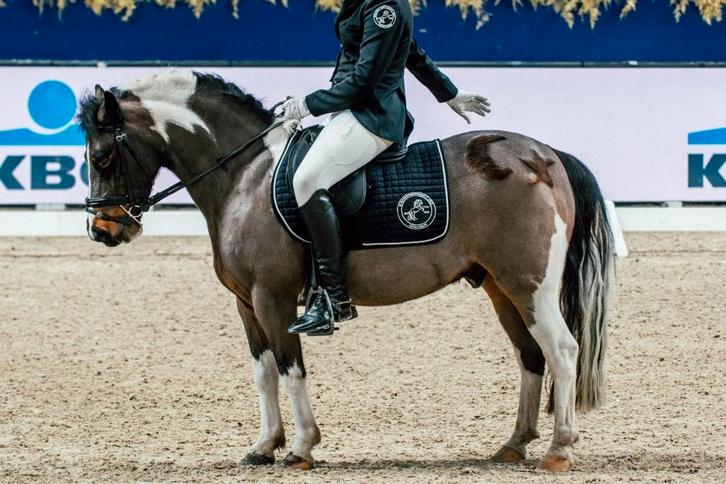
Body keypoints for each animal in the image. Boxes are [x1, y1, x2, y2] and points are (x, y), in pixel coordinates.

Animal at [80, 70, 614, 472]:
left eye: (101, 156)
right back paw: (513, 444)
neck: (246, 176)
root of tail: (544, 155)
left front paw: (300, 448)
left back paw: (559, 449)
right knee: (531, 355)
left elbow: (291, 367)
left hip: (530, 285)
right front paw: (263, 446)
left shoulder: (273, 298)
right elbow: (263, 373)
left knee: (562, 350)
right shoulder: (245, 303)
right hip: (502, 289)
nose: (102, 230)